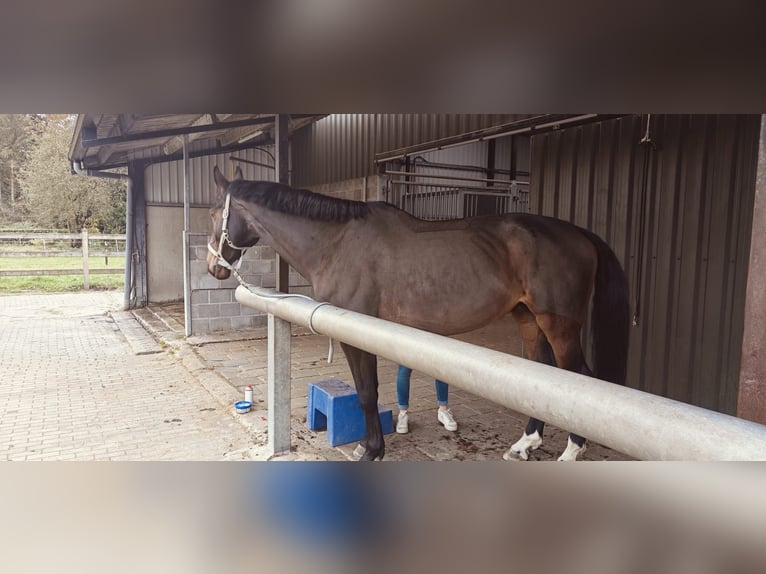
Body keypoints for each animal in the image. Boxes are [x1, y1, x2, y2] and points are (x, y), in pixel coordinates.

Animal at [208, 166, 632, 464]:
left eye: (214, 215)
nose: (214, 268)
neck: (336, 243)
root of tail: (580, 234)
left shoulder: (358, 333)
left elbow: (367, 393)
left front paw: (371, 450)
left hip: (559, 324)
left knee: (579, 379)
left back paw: (571, 452)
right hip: (527, 317)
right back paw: (525, 444)